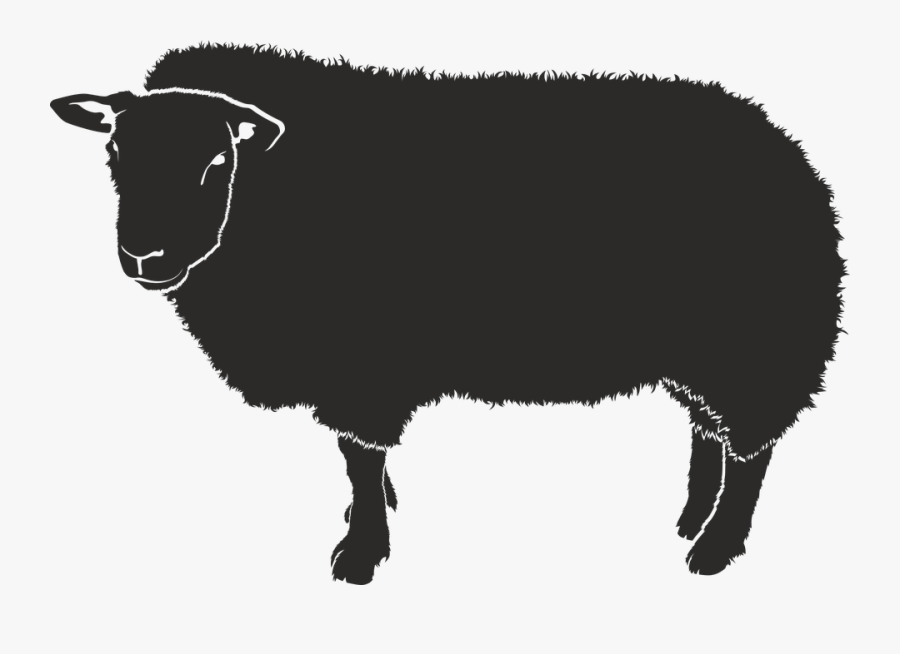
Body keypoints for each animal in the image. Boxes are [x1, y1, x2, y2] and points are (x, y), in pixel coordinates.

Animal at [50, 43, 845, 584]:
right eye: (114, 155)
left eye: (218, 161)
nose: (145, 256)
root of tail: (786, 146)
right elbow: (354, 461)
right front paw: (365, 517)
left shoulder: (363, 369)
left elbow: (360, 457)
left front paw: (361, 551)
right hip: (698, 353)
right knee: (707, 429)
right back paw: (690, 517)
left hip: (753, 342)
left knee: (751, 448)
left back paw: (715, 546)